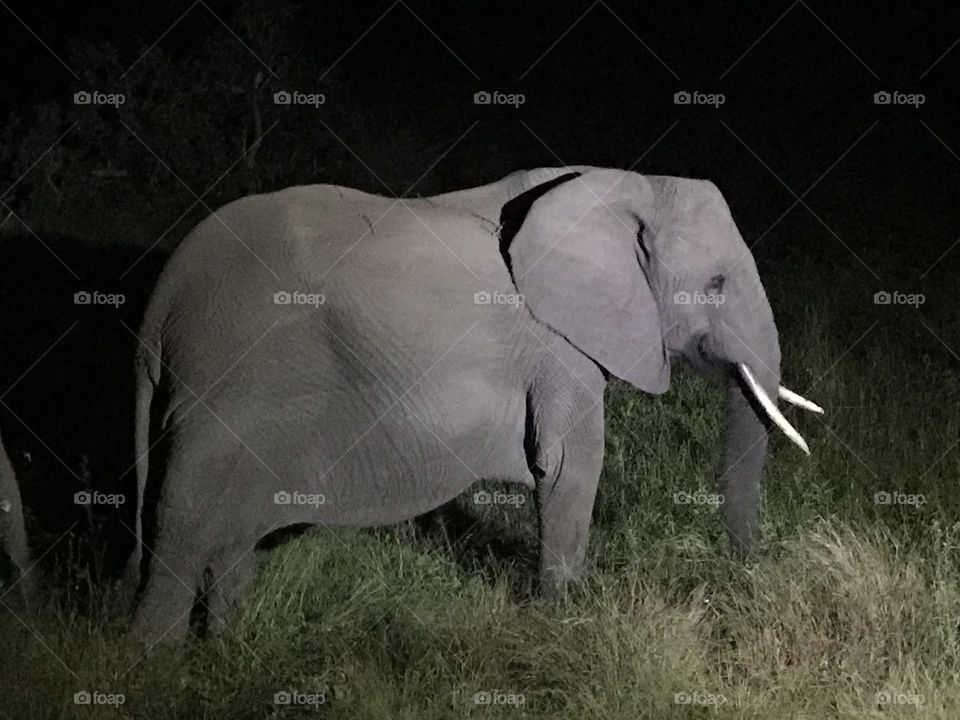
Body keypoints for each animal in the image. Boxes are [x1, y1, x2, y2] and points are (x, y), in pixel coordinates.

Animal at [126, 167, 822, 642]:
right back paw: (154, 671)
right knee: (184, 524)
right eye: (716, 284)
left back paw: (228, 648)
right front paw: (562, 622)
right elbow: (570, 466)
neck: (633, 186)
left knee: (228, 537)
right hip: (231, 381)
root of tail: (162, 303)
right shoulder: (557, 345)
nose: (740, 577)